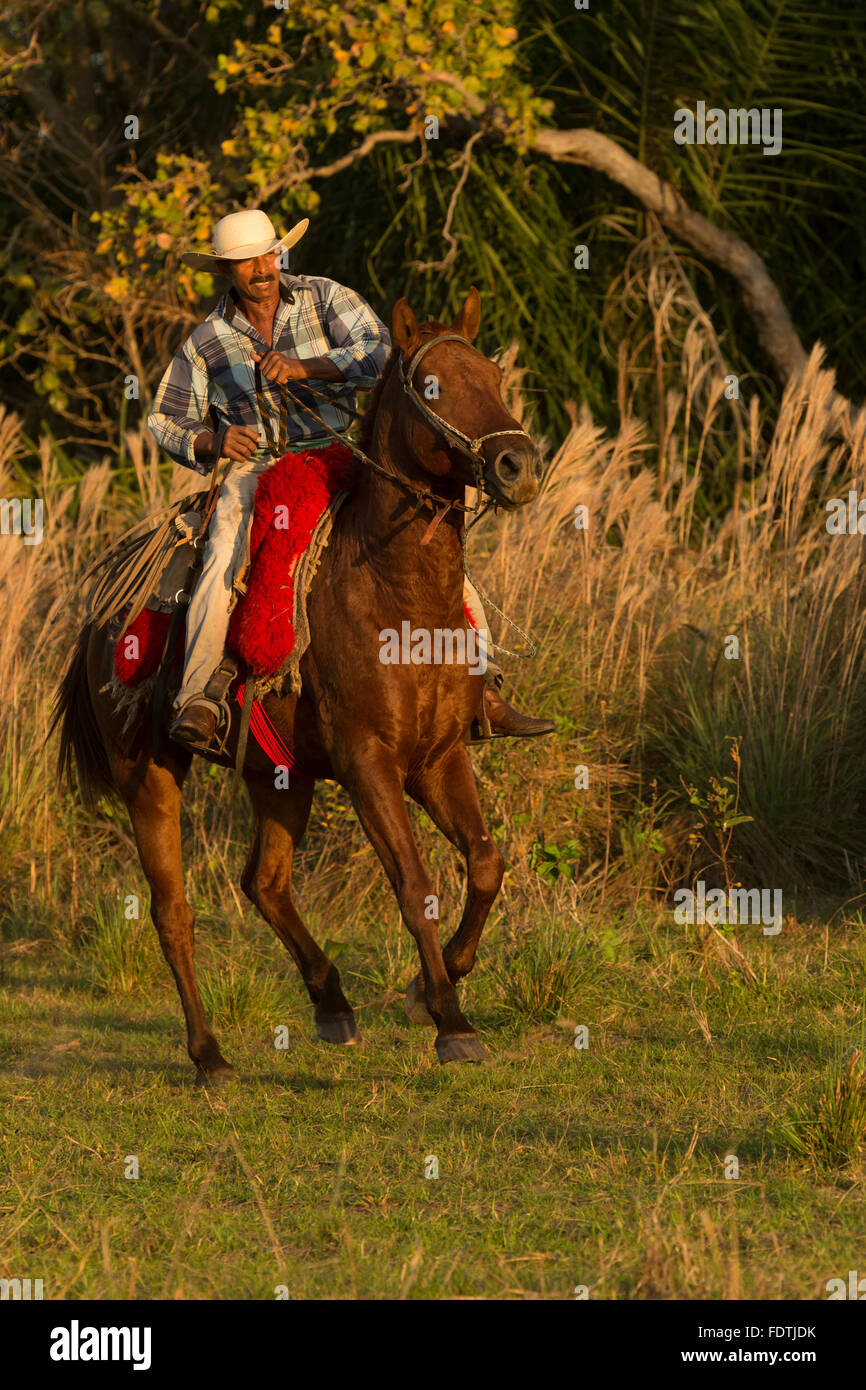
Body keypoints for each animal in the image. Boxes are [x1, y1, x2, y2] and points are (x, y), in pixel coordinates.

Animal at [52, 287, 544, 1083]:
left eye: (497, 377)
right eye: (433, 385)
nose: (516, 465)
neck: (395, 595)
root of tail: (101, 612)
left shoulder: (439, 759)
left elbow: (485, 861)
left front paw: (429, 990)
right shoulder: (368, 763)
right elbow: (416, 885)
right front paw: (450, 1018)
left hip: (277, 774)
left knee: (266, 882)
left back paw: (331, 1001)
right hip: (147, 775)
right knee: (172, 911)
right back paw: (210, 1055)